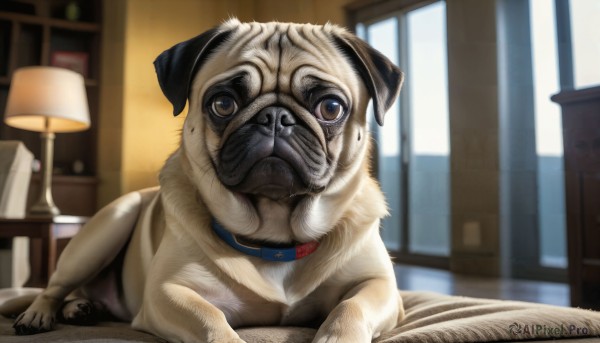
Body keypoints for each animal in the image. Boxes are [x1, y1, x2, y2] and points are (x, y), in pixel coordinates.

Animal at [7, 18, 404, 343]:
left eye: (331, 108)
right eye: (223, 104)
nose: (275, 118)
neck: (276, 239)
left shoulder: (381, 287)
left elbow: (350, 308)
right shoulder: (168, 292)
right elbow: (211, 319)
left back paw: (81, 308)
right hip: (108, 226)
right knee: (53, 287)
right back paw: (39, 315)